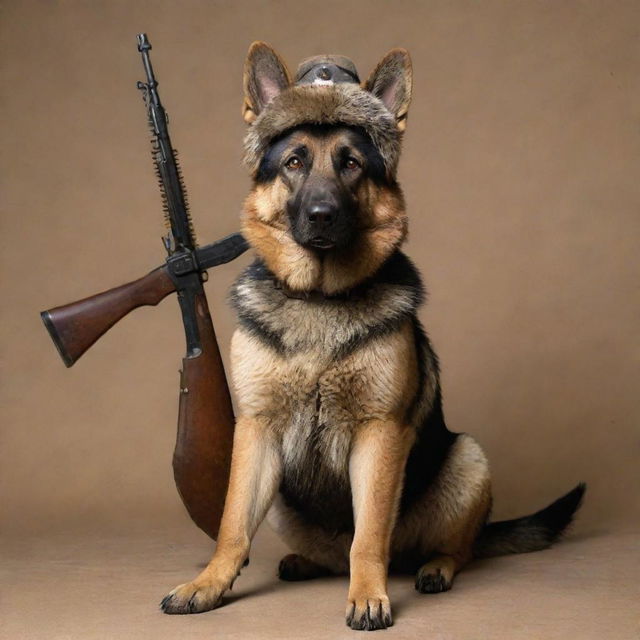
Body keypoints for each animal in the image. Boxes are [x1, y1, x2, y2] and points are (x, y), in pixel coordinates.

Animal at [160, 43, 584, 632]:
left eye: (352, 164)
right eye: (294, 163)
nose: (322, 216)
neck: (320, 300)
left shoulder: (378, 435)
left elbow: (370, 535)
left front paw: (368, 596)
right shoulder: (255, 432)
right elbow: (231, 526)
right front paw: (208, 584)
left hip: (468, 459)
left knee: (453, 548)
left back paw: (434, 569)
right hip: (288, 504)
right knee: (333, 553)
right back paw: (307, 562)